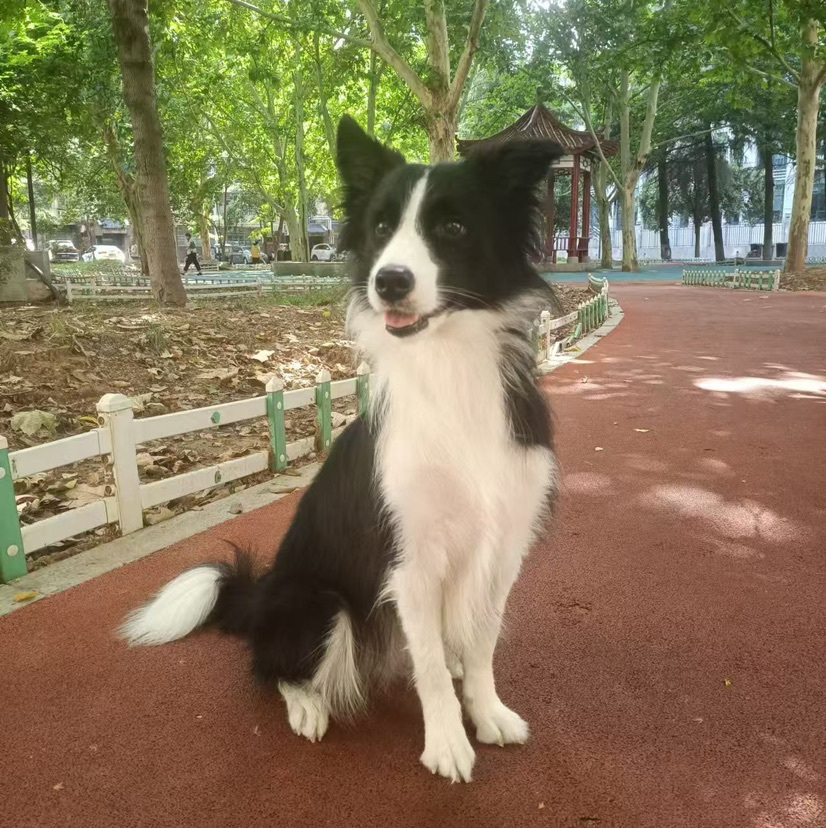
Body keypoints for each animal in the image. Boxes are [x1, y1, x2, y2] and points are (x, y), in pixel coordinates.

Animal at [120, 116, 563, 783]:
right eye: (380, 228)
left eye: (453, 227)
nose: (390, 280)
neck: (449, 368)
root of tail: (259, 595)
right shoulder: (409, 558)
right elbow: (429, 667)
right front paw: (447, 743)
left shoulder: (504, 542)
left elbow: (483, 638)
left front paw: (486, 711)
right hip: (319, 602)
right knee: (272, 669)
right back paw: (306, 704)